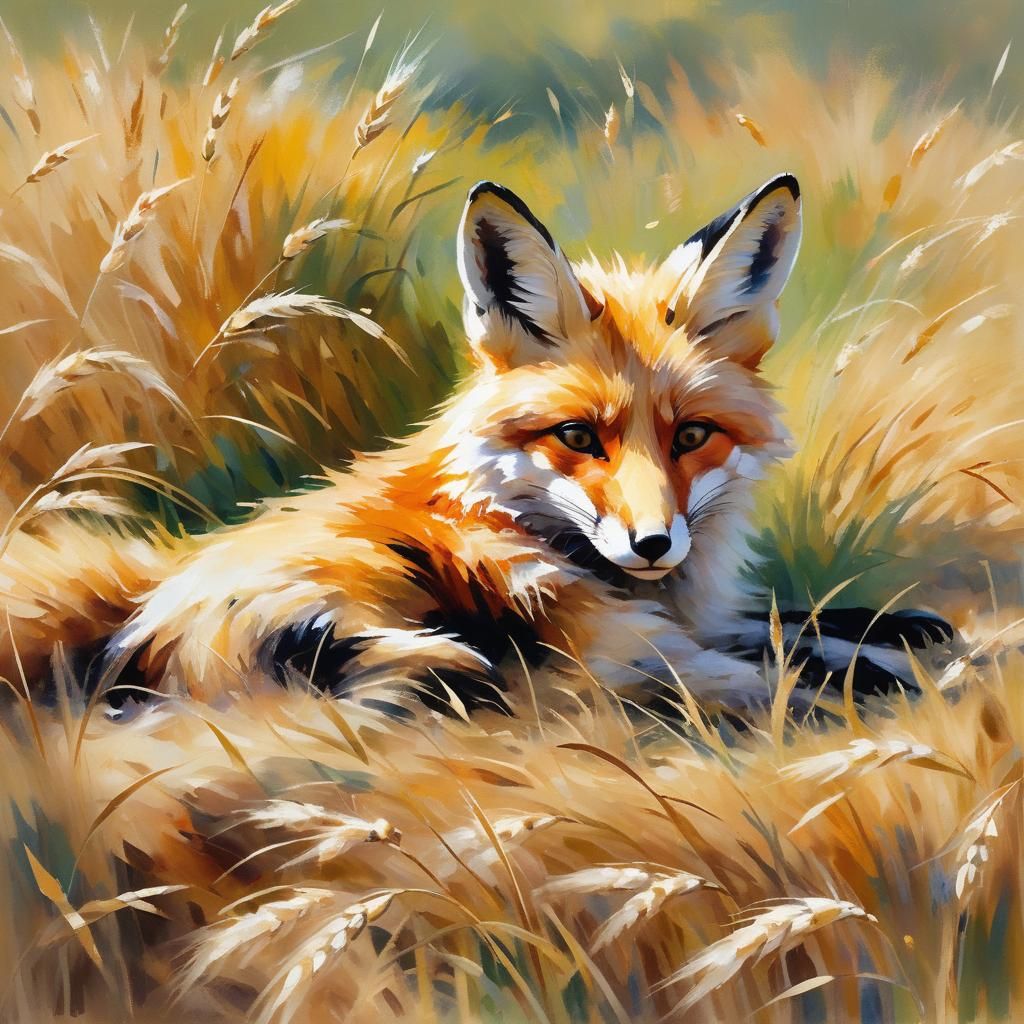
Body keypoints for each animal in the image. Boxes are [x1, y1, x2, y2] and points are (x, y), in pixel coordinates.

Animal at [0, 174, 952, 713]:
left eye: (692, 435)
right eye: (577, 436)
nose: (653, 543)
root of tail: (140, 610)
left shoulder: (689, 613)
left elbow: (792, 619)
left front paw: (895, 626)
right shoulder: (616, 632)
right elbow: (771, 657)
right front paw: (874, 670)